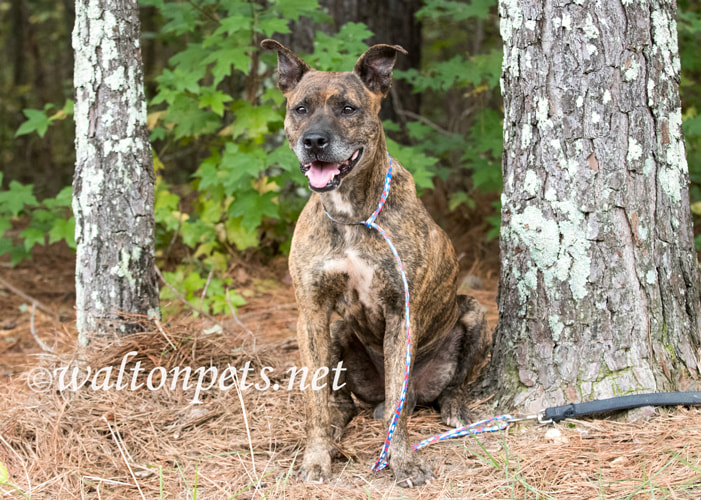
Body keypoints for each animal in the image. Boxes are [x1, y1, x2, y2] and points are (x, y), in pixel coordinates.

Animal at [262, 40, 486, 488]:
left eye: (348, 109)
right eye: (300, 108)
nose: (314, 141)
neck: (350, 214)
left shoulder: (401, 313)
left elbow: (398, 409)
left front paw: (402, 461)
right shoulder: (312, 313)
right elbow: (315, 401)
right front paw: (317, 456)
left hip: (474, 312)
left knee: (439, 389)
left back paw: (453, 408)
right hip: (335, 332)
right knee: (344, 404)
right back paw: (336, 427)